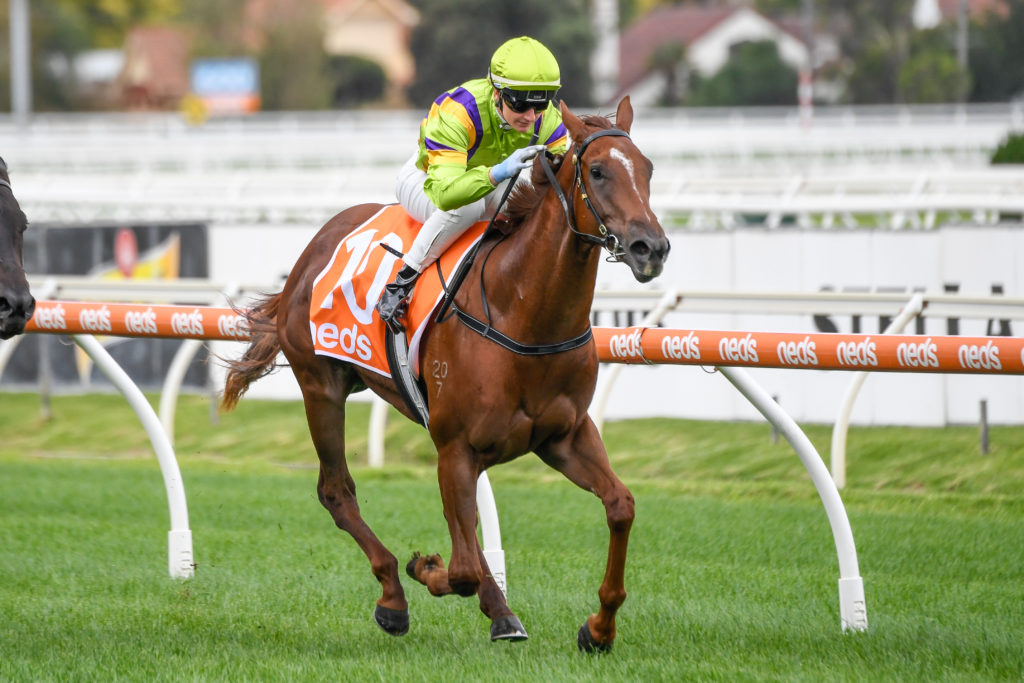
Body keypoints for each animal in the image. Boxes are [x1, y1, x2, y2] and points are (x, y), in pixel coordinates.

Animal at [221, 97, 670, 652]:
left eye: (648, 170)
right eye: (599, 171)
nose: (651, 247)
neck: (523, 313)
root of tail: (318, 241)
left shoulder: (564, 436)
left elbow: (619, 506)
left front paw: (599, 627)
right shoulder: (455, 446)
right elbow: (460, 570)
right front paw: (428, 569)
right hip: (320, 386)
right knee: (337, 491)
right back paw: (395, 595)